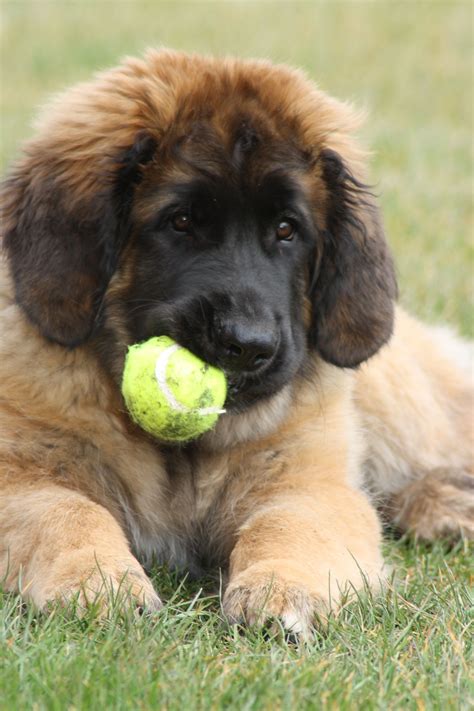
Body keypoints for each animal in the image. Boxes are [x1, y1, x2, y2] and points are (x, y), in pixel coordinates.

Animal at [0, 50, 472, 636]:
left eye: (288, 230)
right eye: (181, 221)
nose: (248, 346)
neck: (183, 456)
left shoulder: (310, 482)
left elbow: (289, 526)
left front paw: (281, 588)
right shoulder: (22, 478)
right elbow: (68, 514)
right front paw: (98, 582)